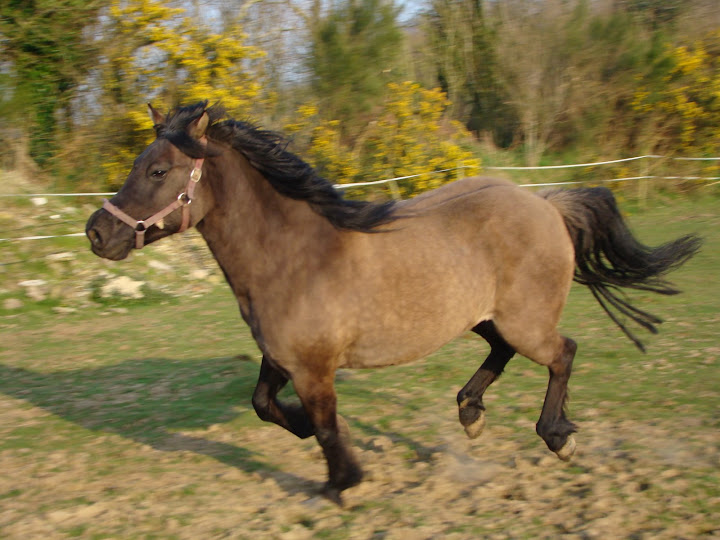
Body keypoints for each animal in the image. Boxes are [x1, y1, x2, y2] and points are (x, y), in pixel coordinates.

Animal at [84, 102, 696, 506]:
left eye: (158, 170)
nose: (96, 233)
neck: (294, 257)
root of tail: (544, 202)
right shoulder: (283, 357)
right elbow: (266, 405)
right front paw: (308, 437)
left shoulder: (313, 368)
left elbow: (328, 427)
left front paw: (345, 482)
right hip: (481, 318)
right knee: (505, 353)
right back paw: (471, 413)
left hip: (525, 321)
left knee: (563, 352)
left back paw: (557, 437)